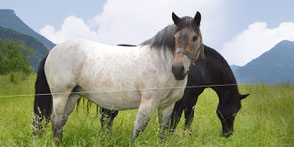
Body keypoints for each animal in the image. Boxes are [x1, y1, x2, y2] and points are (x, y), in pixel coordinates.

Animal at [32, 12, 204, 143]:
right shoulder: (148, 103)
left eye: (195, 37)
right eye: (175, 38)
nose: (178, 69)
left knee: (61, 122)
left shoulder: (168, 106)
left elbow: (163, 131)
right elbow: (138, 131)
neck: (161, 62)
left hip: (73, 96)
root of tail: (52, 51)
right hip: (60, 96)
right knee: (56, 122)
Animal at [100, 45, 249, 137]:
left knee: (107, 118)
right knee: (106, 118)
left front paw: (187, 135)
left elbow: (189, 118)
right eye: (234, 113)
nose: (228, 134)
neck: (202, 67)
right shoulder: (180, 100)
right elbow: (174, 120)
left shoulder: (192, 99)